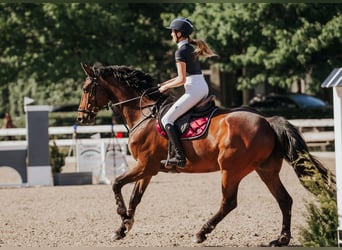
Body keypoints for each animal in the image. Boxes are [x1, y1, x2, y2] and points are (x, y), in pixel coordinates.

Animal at [77, 63, 334, 246]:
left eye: (86, 89)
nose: (81, 117)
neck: (143, 113)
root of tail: (267, 120)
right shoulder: (147, 169)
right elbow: (134, 198)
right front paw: (123, 227)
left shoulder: (145, 166)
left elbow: (116, 184)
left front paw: (122, 216)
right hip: (266, 170)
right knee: (284, 199)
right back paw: (281, 239)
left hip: (231, 169)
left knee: (229, 202)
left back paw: (201, 233)